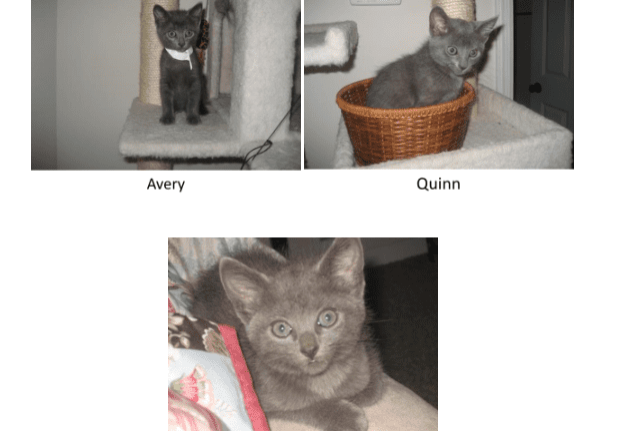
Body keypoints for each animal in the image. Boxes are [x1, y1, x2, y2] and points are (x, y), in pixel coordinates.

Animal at [185, 240, 382, 431]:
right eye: (281, 329)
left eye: (328, 318)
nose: (309, 349)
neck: (322, 380)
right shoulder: (261, 398)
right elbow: (301, 406)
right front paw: (346, 415)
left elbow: (371, 389)